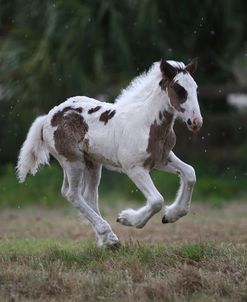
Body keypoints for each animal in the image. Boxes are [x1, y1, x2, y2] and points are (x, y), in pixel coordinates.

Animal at [16, 58, 203, 248]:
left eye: (195, 88)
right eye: (179, 90)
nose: (196, 122)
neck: (146, 123)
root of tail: (49, 116)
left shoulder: (161, 159)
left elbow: (190, 174)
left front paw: (171, 215)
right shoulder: (134, 168)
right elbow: (157, 200)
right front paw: (127, 218)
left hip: (92, 163)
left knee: (89, 196)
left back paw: (107, 240)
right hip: (72, 161)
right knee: (72, 194)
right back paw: (108, 235)